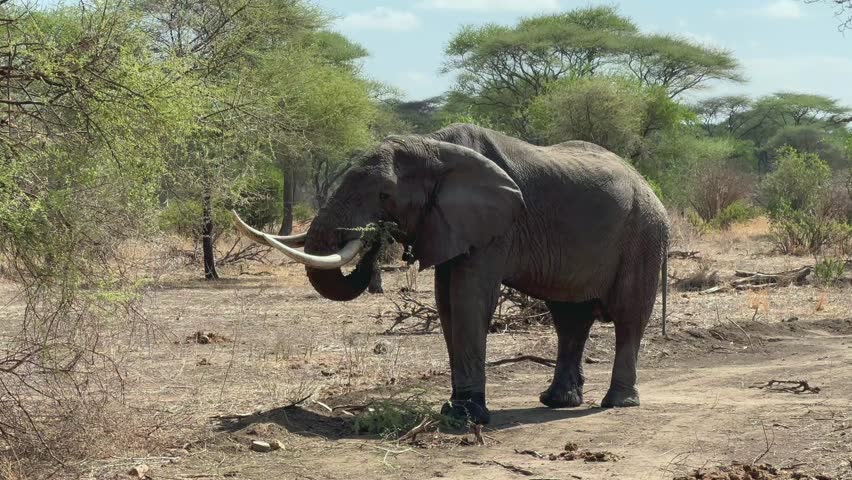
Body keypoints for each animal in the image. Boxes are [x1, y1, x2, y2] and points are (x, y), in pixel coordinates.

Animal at [233, 123, 669, 425]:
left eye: (385, 194)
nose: (375, 236)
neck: (433, 145)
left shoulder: (495, 225)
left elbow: (468, 298)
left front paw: (465, 417)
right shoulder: (446, 222)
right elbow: (445, 303)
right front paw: (455, 410)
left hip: (644, 235)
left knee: (628, 316)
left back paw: (617, 403)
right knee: (569, 318)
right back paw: (556, 401)